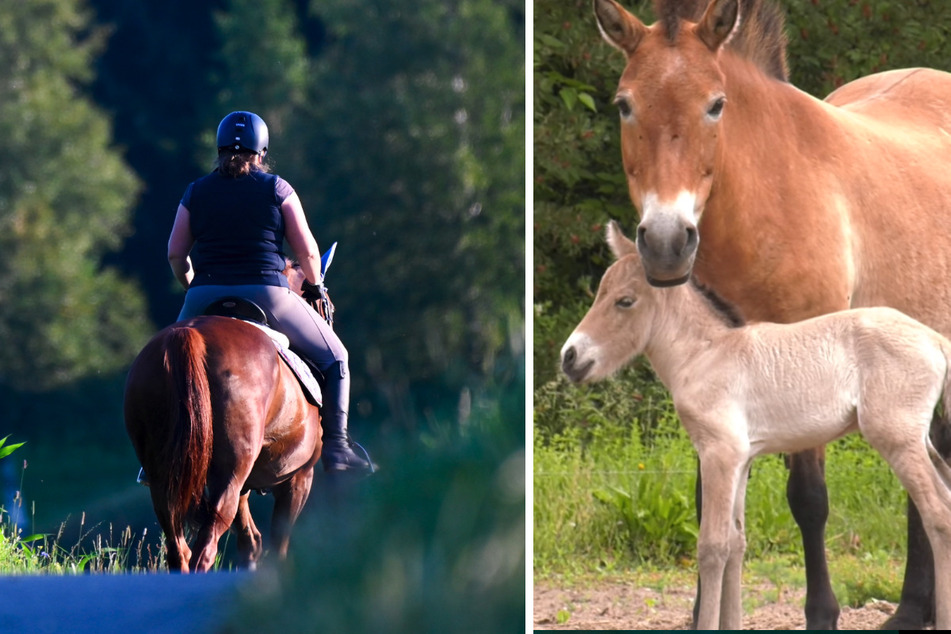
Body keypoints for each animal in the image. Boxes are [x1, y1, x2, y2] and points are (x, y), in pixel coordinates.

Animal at [560, 221, 951, 628]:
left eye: (624, 301)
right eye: (600, 293)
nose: (569, 357)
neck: (705, 354)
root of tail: (937, 340)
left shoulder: (719, 454)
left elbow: (712, 546)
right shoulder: (742, 459)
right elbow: (737, 543)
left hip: (897, 440)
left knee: (938, 516)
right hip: (923, 443)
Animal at [596, 0, 951, 624]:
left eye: (715, 104)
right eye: (624, 103)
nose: (665, 243)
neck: (769, 197)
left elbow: (808, 500)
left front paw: (822, 616)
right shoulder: (720, 386)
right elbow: (711, 511)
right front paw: (704, 614)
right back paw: (914, 609)